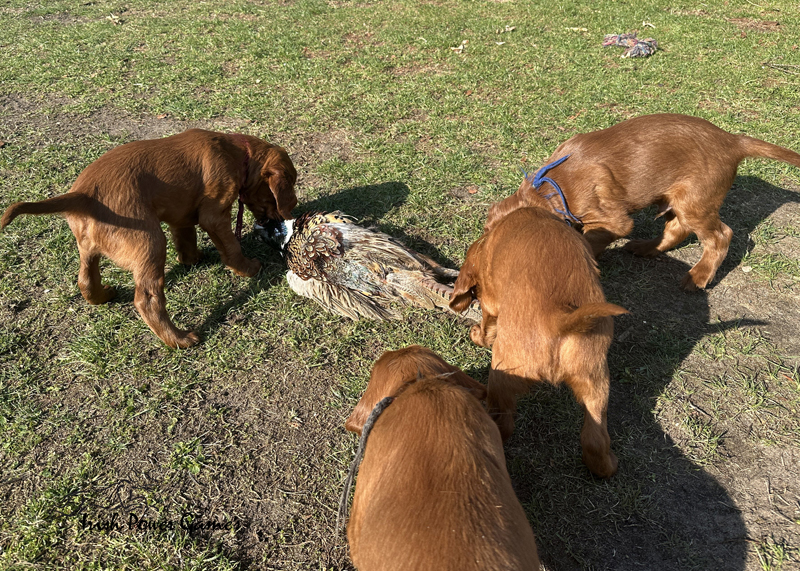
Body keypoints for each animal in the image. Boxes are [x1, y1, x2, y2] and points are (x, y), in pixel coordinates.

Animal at [1, 129, 297, 348]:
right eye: (291, 184)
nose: (293, 209)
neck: (237, 152)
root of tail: (83, 196)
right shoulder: (214, 214)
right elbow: (232, 246)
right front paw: (248, 268)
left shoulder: (181, 214)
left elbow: (185, 238)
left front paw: (194, 259)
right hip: (150, 241)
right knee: (147, 299)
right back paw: (179, 339)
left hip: (88, 245)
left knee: (85, 279)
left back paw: (103, 295)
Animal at [450, 208, 627, 478]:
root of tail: (559, 320)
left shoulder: (491, 300)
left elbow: (488, 322)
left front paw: (477, 335)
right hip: (596, 379)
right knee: (595, 439)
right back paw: (609, 466)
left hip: (501, 373)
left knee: (503, 422)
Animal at [484, 113, 800, 290]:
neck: (551, 188)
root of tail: (733, 141)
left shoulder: (613, 220)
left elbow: (589, 240)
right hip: (676, 198)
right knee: (676, 229)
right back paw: (645, 248)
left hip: (695, 200)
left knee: (721, 235)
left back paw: (698, 277)